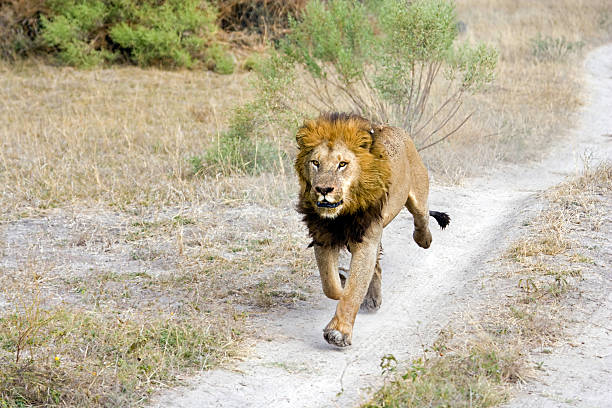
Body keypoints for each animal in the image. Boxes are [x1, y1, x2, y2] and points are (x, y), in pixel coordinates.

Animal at [296, 111, 450, 348]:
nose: (323, 189)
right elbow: (330, 284)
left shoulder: (366, 240)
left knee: (421, 217)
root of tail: (394, 128)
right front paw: (342, 279)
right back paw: (372, 298)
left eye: (342, 164)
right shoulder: (323, 236)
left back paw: (423, 239)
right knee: (376, 265)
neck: (343, 213)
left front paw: (339, 332)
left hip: (417, 194)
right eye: (315, 163)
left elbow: (352, 290)